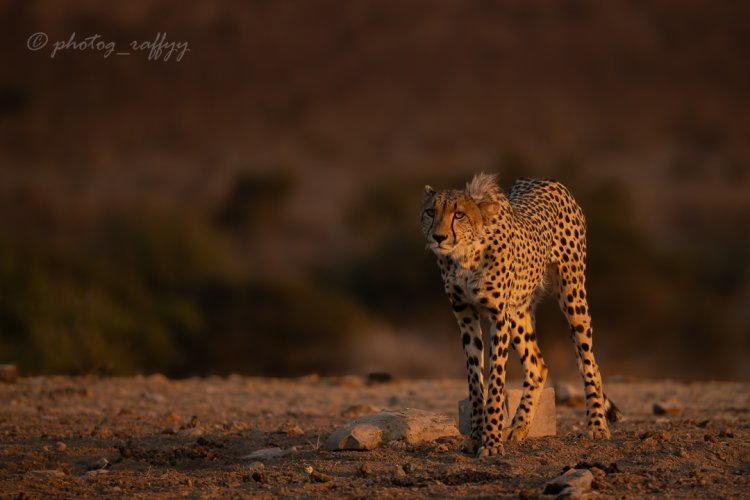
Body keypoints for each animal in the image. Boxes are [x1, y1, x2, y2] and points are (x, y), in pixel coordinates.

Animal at [424, 173, 624, 458]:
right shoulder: (466, 316)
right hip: (518, 312)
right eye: (431, 212)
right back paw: (518, 427)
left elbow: (496, 382)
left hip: (572, 294)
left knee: (589, 362)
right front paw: (476, 438)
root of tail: (546, 180)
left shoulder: (498, 316)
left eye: (459, 214)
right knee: (537, 366)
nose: (438, 237)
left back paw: (597, 426)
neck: (464, 255)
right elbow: (475, 381)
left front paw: (491, 442)